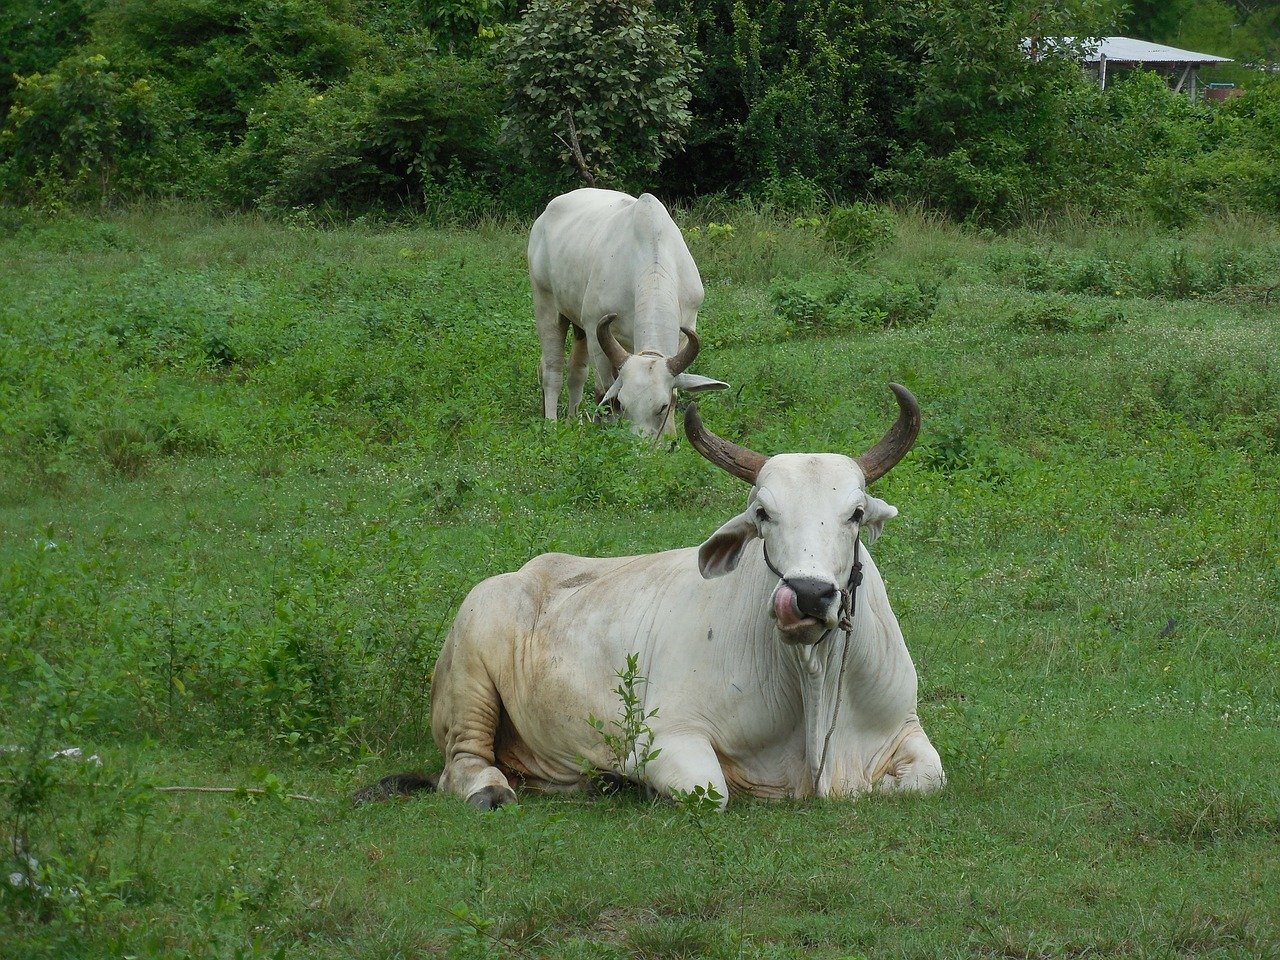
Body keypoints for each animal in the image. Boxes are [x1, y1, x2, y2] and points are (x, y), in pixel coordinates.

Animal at [355, 384, 944, 810]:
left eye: (857, 514)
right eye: (762, 513)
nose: (807, 595)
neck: (812, 680)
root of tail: (519, 576)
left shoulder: (905, 728)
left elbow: (929, 777)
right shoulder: (670, 738)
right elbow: (711, 791)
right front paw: (631, 779)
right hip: (470, 670)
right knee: (462, 765)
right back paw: (494, 788)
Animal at [528, 188, 729, 438]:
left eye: (662, 407)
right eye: (623, 404)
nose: (639, 445)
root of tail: (545, 215)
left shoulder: (686, 329)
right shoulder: (596, 331)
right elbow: (604, 393)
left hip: (579, 324)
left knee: (576, 371)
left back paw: (572, 421)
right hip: (546, 302)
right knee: (552, 369)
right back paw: (552, 425)